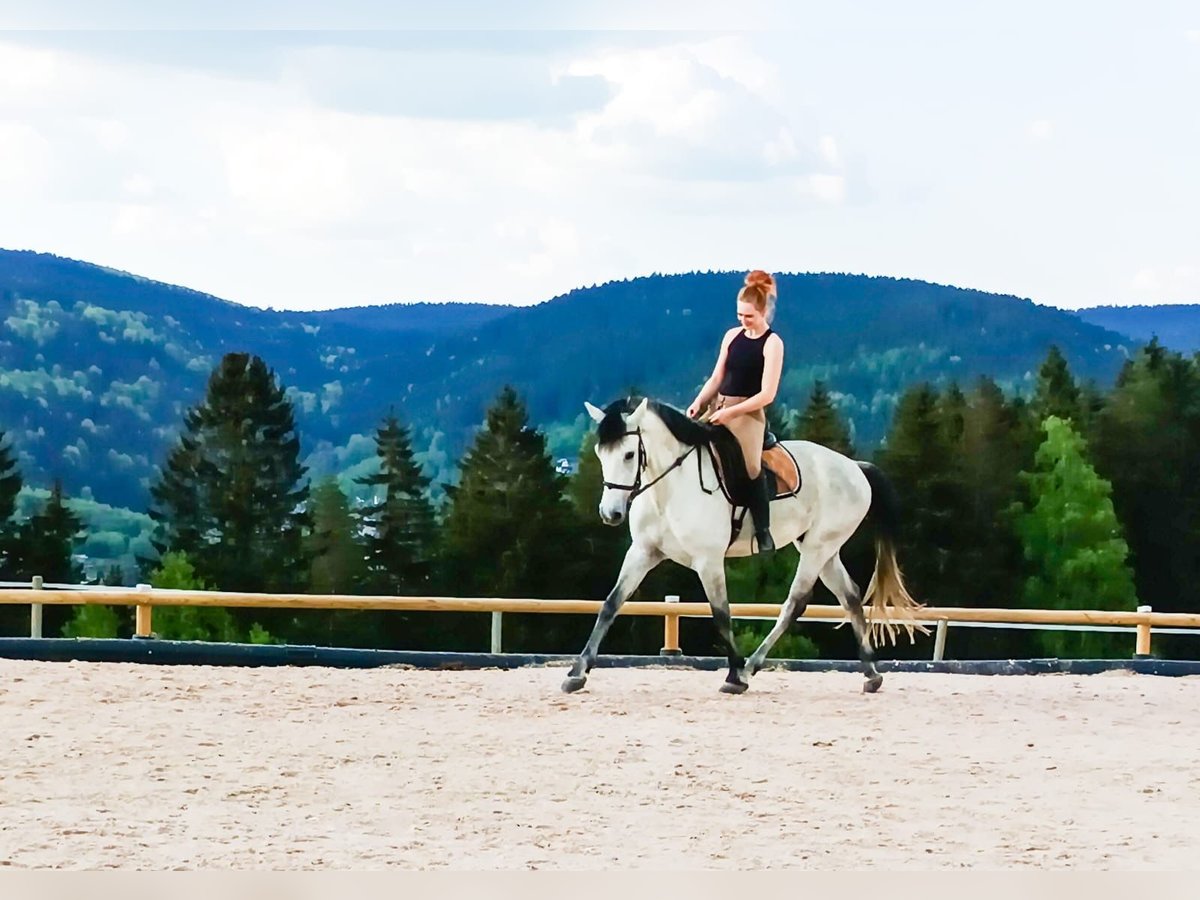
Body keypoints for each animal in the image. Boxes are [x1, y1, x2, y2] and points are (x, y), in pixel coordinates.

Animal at [564, 398, 926, 700]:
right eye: (600, 453)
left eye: (629, 454)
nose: (610, 514)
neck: (669, 488)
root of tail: (854, 467)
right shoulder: (642, 552)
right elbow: (611, 604)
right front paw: (577, 672)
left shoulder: (708, 560)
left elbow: (721, 614)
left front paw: (734, 675)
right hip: (824, 548)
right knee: (849, 596)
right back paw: (871, 673)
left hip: (818, 548)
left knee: (795, 603)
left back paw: (751, 668)